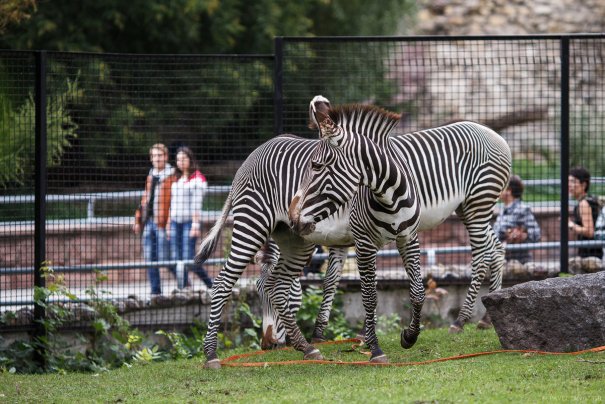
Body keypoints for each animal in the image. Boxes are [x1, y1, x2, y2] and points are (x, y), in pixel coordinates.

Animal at [290, 101, 512, 338]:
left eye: (317, 166)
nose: (293, 220)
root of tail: (493, 133)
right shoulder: (346, 238)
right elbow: (334, 281)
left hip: (478, 203)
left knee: (481, 256)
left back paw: (460, 320)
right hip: (469, 209)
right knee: (496, 249)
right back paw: (487, 317)